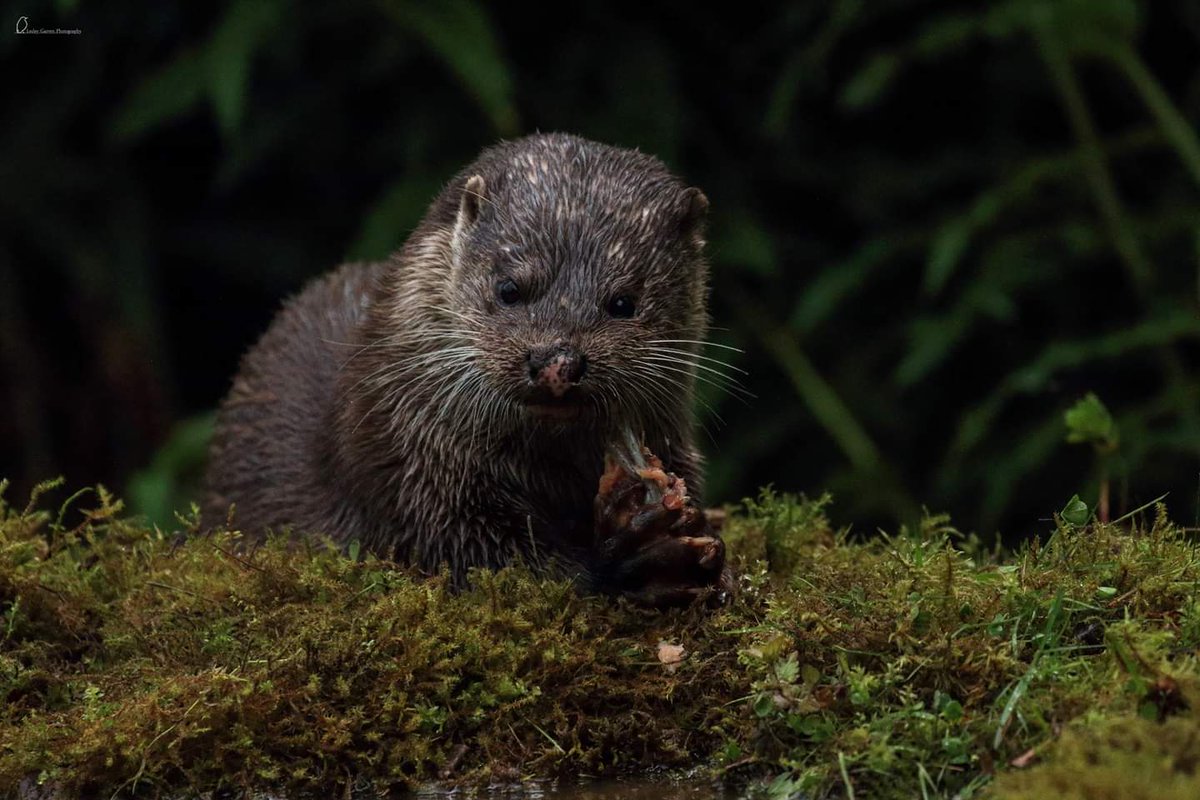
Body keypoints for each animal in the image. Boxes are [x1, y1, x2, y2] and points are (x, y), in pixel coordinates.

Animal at [205, 133, 724, 606]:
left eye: (623, 302)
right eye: (509, 288)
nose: (557, 362)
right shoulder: (411, 475)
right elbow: (481, 554)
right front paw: (629, 555)